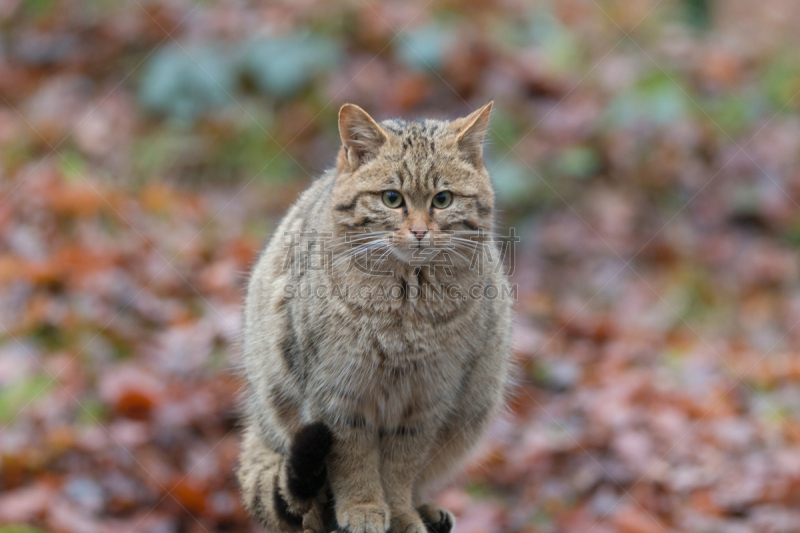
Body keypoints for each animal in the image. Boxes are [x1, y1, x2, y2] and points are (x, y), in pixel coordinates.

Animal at [238, 103, 512, 532]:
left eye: (443, 199)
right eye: (391, 198)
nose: (419, 232)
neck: (406, 312)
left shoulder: (426, 400)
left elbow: (400, 469)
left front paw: (400, 513)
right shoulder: (337, 395)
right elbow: (353, 462)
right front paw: (363, 509)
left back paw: (425, 510)